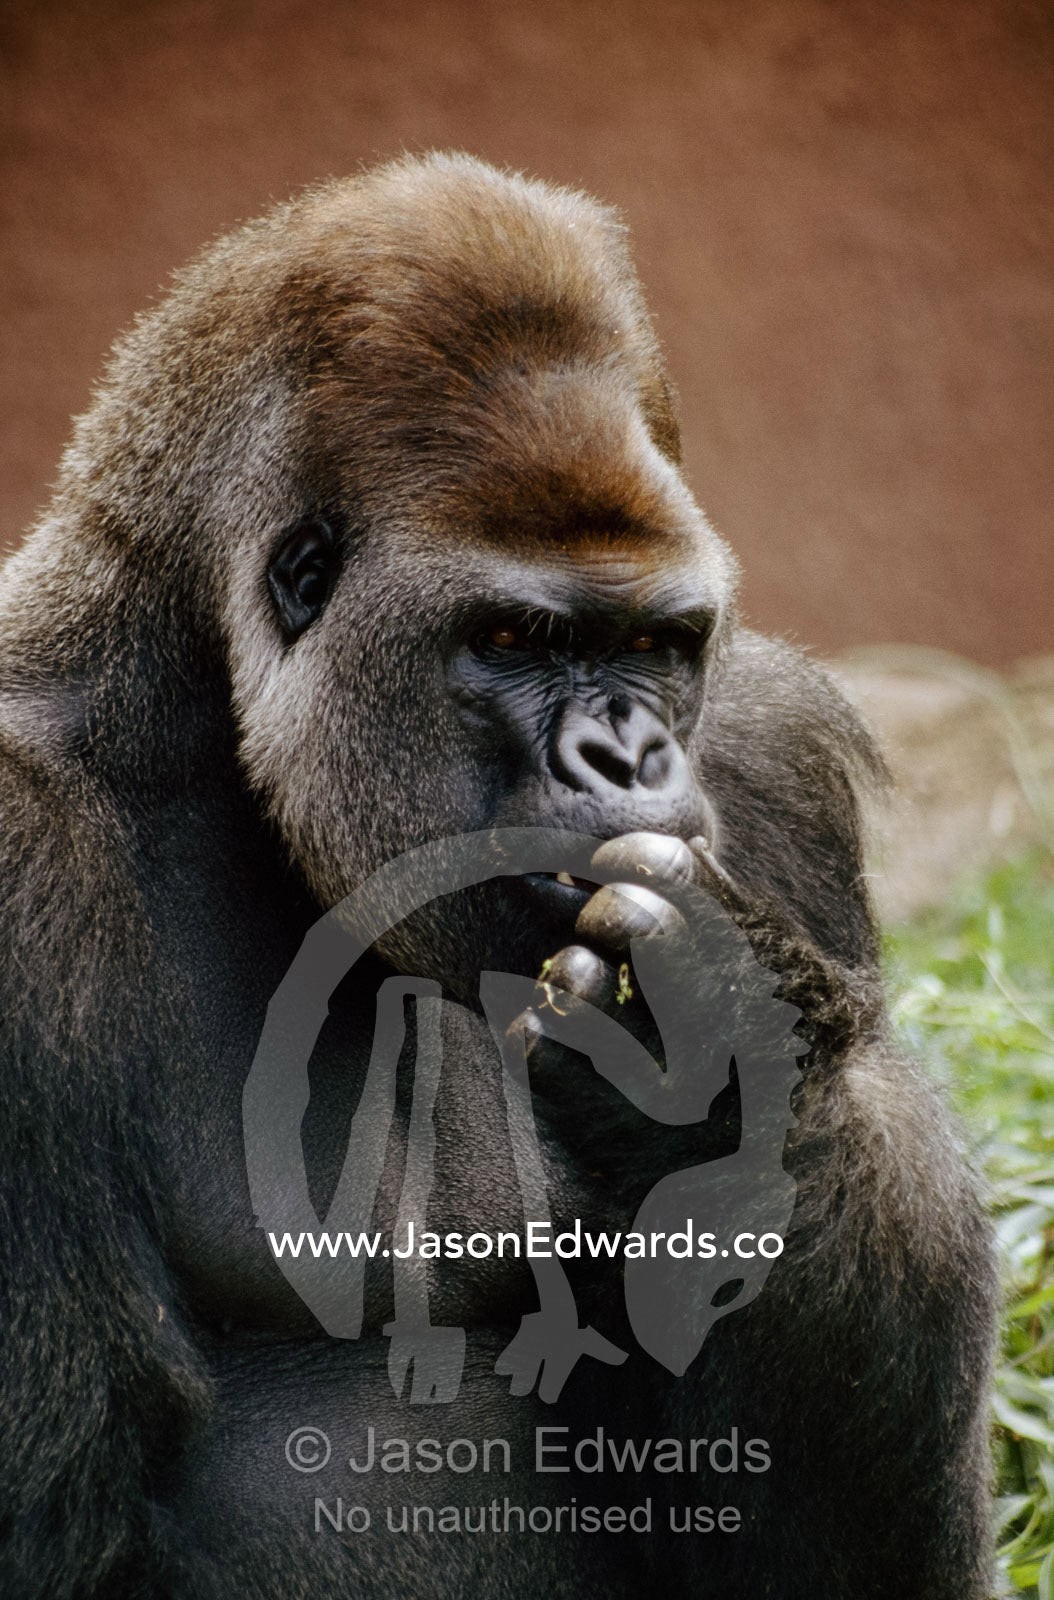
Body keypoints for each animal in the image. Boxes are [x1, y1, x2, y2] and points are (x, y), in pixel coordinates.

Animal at [0, 152, 995, 1599]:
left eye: (656, 641)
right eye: (515, 637)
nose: (625, 751)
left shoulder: (771, 762)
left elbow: (842, 1551)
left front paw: (734, 1058)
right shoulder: (13, 850)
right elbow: (63, 1523)